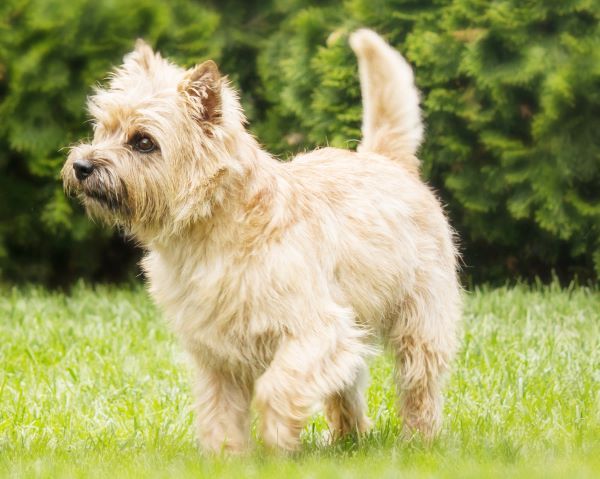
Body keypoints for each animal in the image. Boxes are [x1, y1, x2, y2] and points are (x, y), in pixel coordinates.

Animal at [62, 29, 460, 454]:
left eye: (143, 142)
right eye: (102, 129)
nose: (81, 166)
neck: (213, 230)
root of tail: (387, 159)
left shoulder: (318, 330)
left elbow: (276, 387)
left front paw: (277, 441)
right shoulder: (216, 352)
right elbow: (218, 410)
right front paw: (226, 457)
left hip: (419, 322)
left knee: (419, 385)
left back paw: (418, 440)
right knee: (347, 387)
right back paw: (346, 440)